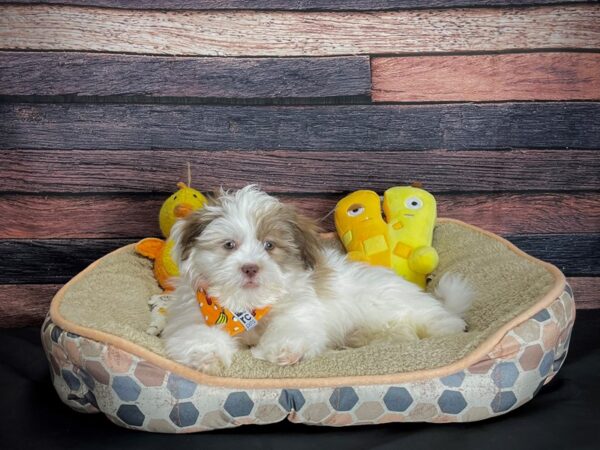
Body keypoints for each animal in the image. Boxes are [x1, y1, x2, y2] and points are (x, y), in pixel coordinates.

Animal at [162, 185, 472, 372]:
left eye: (269, 246)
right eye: (229, 245)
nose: (250, 268)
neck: (247, 308)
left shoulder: (300, 311)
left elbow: (294, 328)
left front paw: (282, 350)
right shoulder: (190, 317)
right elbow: (195, 334)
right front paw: (207, 355)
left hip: (398, 306)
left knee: (439, 322)